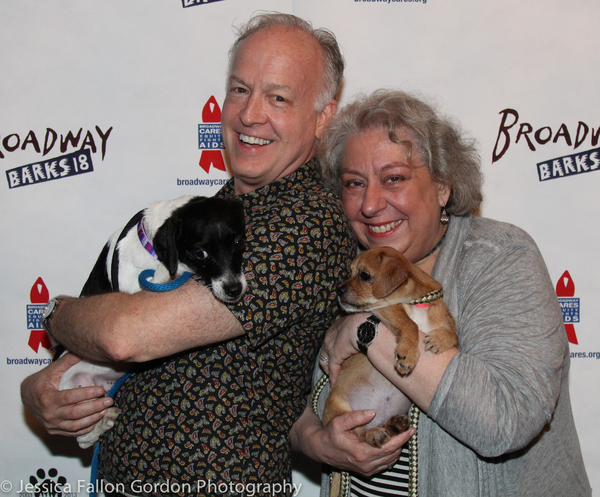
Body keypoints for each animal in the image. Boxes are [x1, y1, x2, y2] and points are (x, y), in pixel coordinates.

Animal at [58, 193, 248, 446]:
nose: (234, 290)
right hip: (76, 391)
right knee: (84, 438)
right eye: (200, 253)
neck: (151, 249)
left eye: (238, 242)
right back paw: (103, 422)